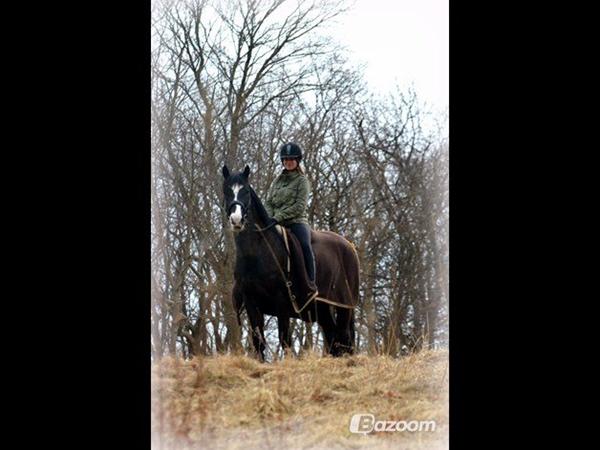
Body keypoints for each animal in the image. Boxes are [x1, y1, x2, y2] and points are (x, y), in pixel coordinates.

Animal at [221, 165, 358, 362]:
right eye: (226, 191)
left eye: (245, 191)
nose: (237, 220)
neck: (257, 254)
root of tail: (350, 246)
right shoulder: (251, 302)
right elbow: (258, 340)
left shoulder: (282, 303)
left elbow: (284, 338)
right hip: (323, 309)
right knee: (334, 338)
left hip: (343, 306)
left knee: (343, 338)